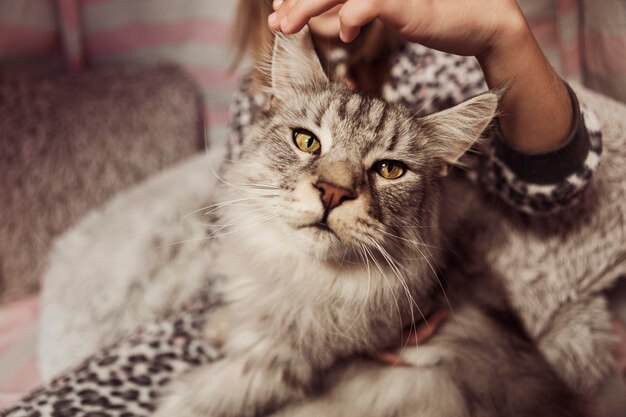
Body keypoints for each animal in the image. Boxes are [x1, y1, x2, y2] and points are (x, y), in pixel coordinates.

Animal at [154, 29, 584, 416]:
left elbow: (211, 393)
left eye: (389, 170)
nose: (333, 192)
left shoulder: (283, 361)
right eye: (307, 141)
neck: (305, 278)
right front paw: (221, 325)